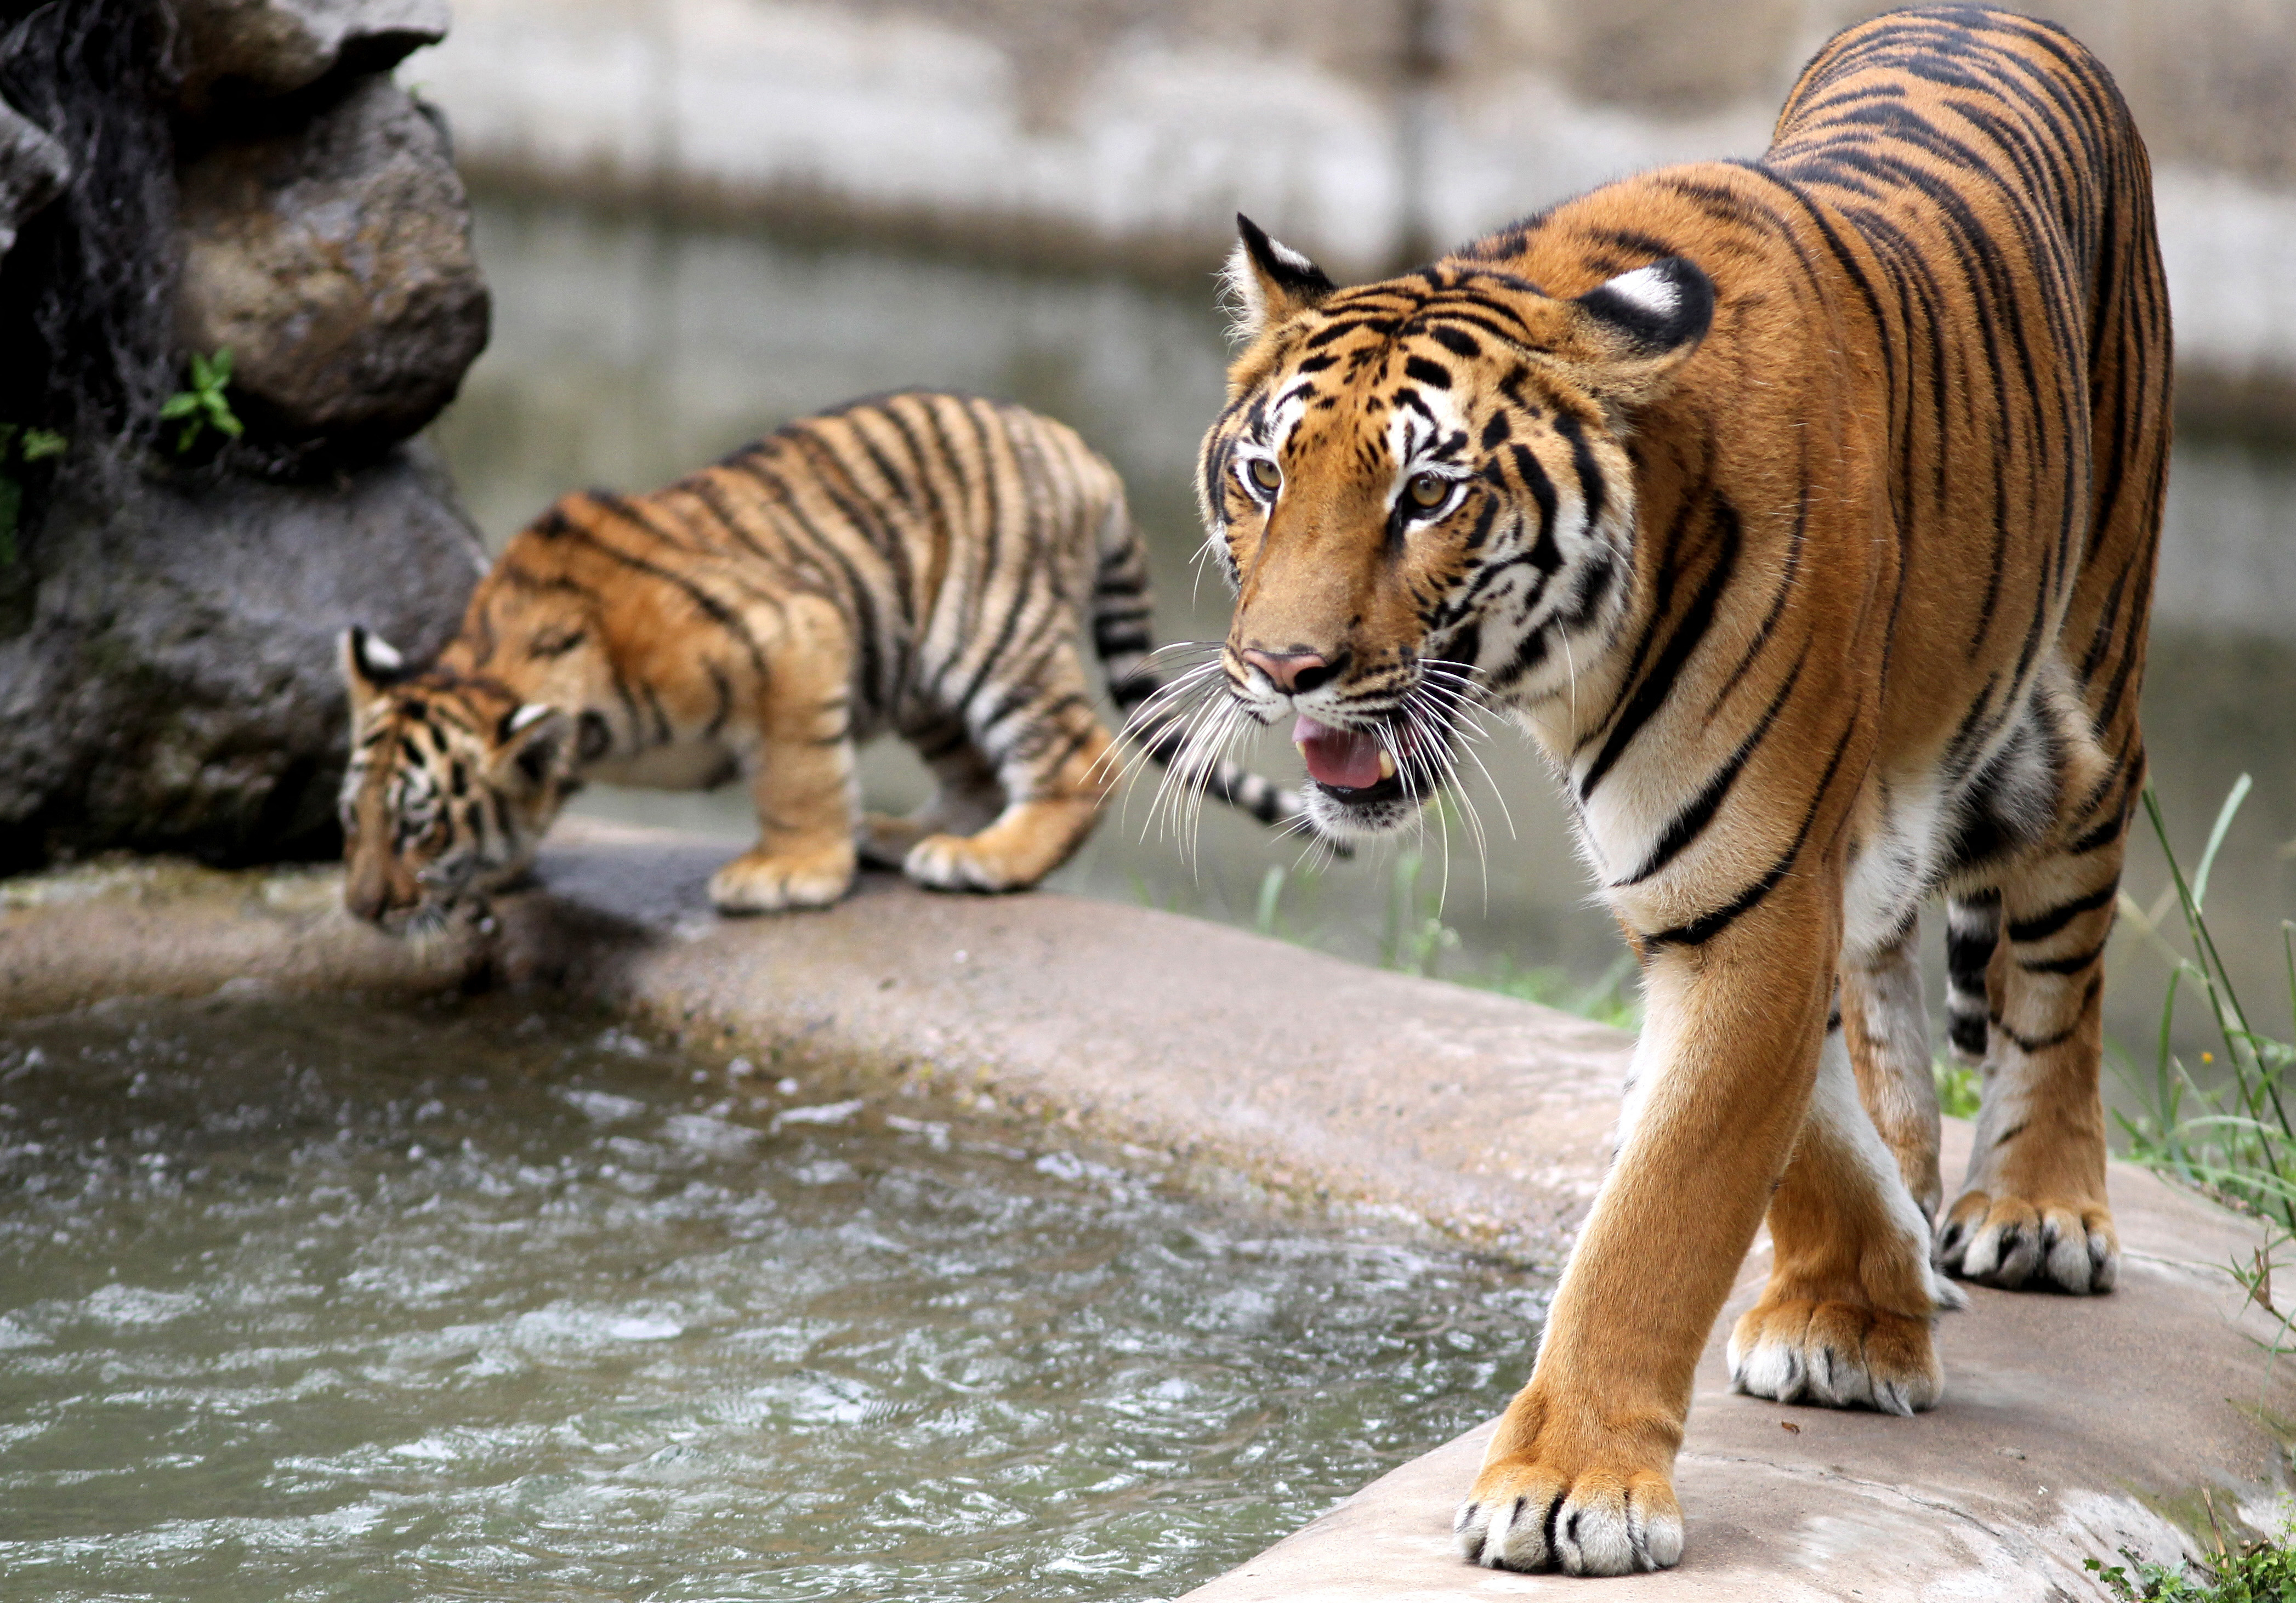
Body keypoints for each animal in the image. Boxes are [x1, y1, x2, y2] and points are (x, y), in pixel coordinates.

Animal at [337, 390, 1301, 933]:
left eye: (420, 827)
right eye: (355, 821)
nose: (360, 908)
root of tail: (1081, 452)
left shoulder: (797, 635)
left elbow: (796, 775)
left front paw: (790, 875)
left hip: (989, 637)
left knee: (1076, 754)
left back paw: (986, 860)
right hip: (920, 676)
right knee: (974, 772)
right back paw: (911, 835)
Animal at [1182, 6, 2168, 1576]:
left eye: (1425, 495)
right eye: (1268, 474)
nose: (1281, 670)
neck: (1571, 666)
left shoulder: (1747, 891)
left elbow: (1662, 1205)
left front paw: (1567, 1485)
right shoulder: (1721, 887)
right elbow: (1795, 1125)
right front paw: (1862, 1299)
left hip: (2094, 657)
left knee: (2060, 956)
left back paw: (2036, 1208)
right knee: (1890, 985)